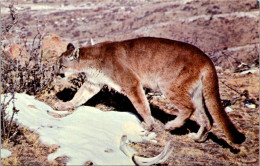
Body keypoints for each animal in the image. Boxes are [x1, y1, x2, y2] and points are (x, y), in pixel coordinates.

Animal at [53, 37, 245, 144]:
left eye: (61, 65)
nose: (55, 72)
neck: (92, 60)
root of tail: (206, 57)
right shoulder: (93, 83)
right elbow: (79, 97)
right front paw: (64, 105)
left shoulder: (131, 83)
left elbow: (141, 105)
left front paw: (148, 124)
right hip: (197, 93)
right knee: (207, 119)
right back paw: (197, 138)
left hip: (168, 85)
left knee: (188, 108)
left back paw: (171, 125)